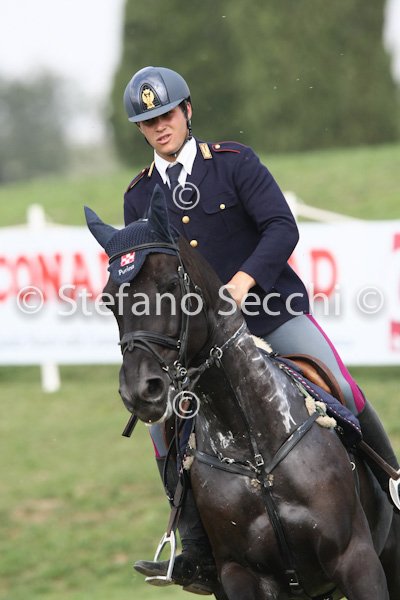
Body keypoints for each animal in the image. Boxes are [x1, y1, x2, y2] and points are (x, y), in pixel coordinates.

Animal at [85, 186, 400, 600]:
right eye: (109, 299)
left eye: (171, 285)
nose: (140, 390)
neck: (255, 452)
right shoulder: (239, 576)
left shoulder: (357, 560)